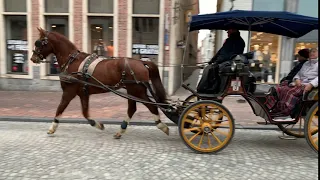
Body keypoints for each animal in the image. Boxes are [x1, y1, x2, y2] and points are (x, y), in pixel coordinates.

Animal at [30, 27, 170, 139]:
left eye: (39, 42)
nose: (32, 58)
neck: (71, 61)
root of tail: (141, 62)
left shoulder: (69, 92)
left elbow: (60, 108)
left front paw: (52, 128)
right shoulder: (83, 93)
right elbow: (85, 113)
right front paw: (99, 125)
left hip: (137, 91)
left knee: (151, 106)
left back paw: (162, 126)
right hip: (132, 91)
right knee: (133, 109)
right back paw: (121, 130)